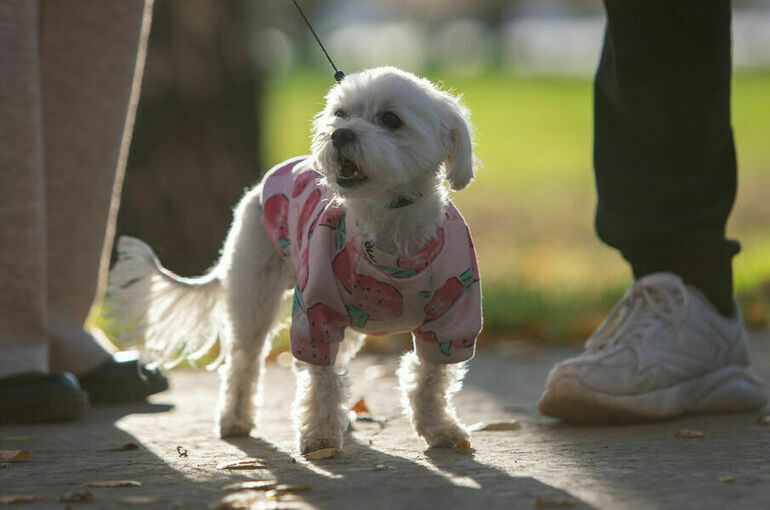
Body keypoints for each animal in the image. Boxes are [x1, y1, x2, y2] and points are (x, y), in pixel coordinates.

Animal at [108, 65, 480, 452]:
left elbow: (429, 379)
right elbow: (321, 379)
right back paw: (235, 419)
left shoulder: (452, 322)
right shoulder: (315, 314)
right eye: (341, 113)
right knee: (244, 361)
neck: (388, 233)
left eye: (391, 119)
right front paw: (320, 435)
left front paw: (441, 429)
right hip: (254, 292)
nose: (340, 134)